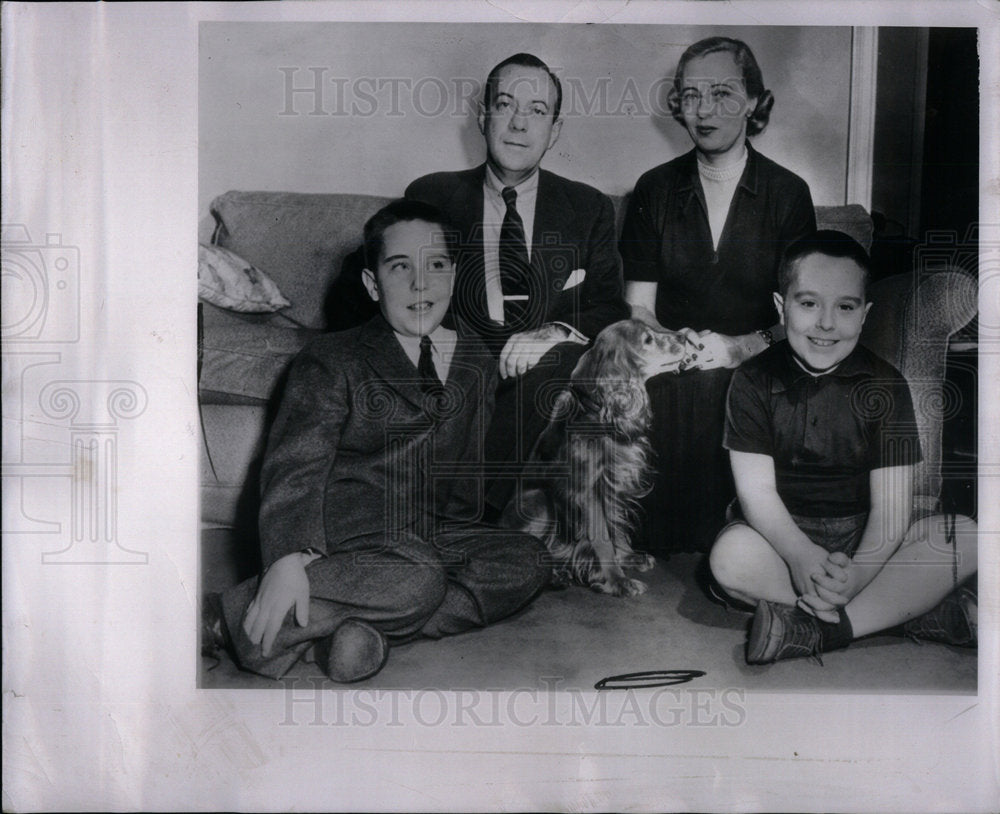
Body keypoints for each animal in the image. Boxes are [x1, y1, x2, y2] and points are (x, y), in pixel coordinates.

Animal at [504, 320, 692, 600]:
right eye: (648, 339)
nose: (683, 336)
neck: (598, 411)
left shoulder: (617, 481)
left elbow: (617, 527)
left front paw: (628, 557)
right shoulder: (587, 489)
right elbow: (602, 537)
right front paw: (618, 581)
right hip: (540, 502)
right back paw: (556, 575)